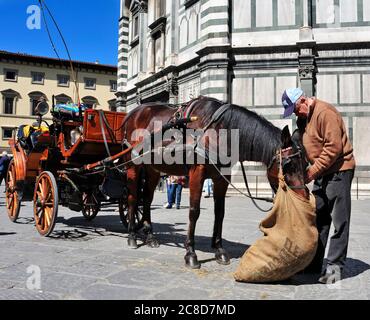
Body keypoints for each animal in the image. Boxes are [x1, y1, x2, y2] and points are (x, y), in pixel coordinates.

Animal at [120, 96, 308, 268]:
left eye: (305, 164)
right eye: (288, 165)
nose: (304, 195)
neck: (219, 131)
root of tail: (132, 113)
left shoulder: (221, 179)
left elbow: (220, 213)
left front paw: (219, 249)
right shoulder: (197, 173)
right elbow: (194, 212)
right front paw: (190, 253)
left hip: (153, 169)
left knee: (147, 200)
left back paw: (150, 236)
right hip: (132, 165)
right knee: (132, 199)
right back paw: (132, 236)